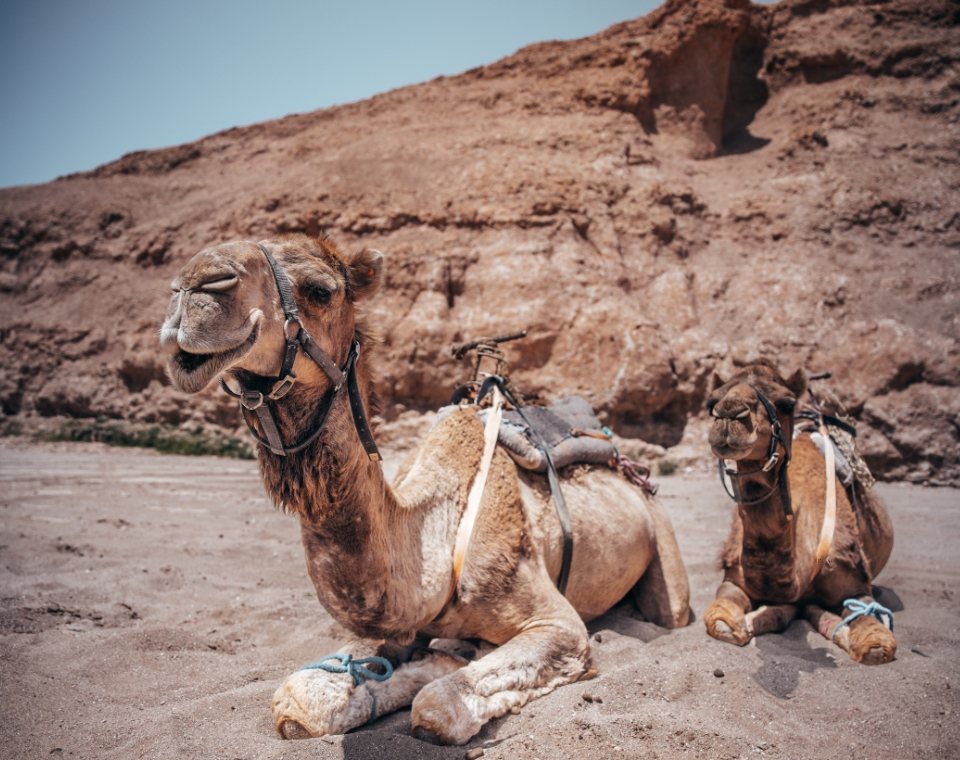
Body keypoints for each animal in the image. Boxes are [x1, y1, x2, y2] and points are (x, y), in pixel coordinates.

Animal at [163, 235, 688, 744]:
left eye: (320, 290)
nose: (194, 286)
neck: (438, 525)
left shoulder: (559, 624)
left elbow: (438, 706)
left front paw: (445, 667)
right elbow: (301, 698)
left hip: (664, 549)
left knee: (672, 612)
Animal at [700, 360, 896, 664]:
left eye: (787, 403)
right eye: (712, 403)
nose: (730, 413)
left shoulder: (856, 586)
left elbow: (876, 643)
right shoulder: (734, 579)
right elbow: (723, 622)